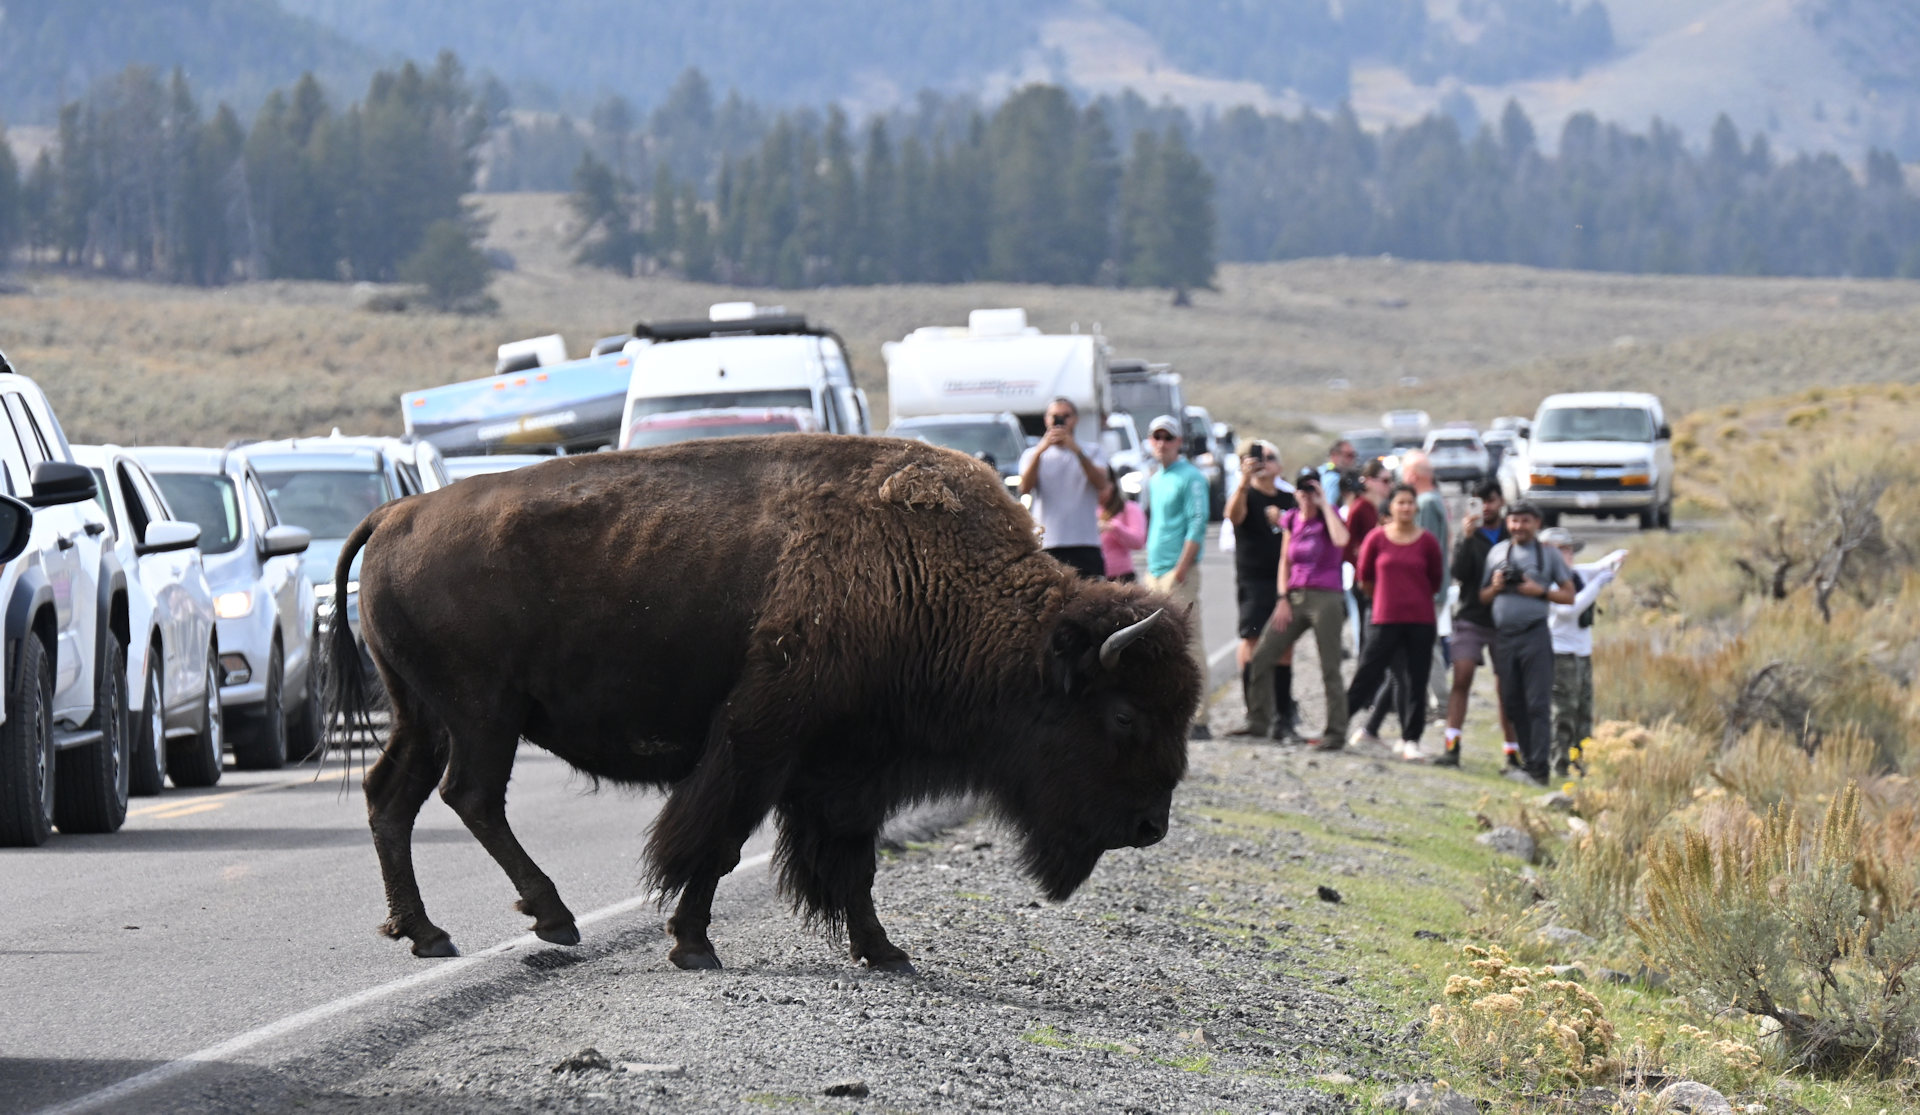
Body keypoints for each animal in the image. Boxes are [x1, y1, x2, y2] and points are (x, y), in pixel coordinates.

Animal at [324, 436, 1201, 971]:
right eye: (1125, 714)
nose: (1150, 826)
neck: (932, 578)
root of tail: (397, 512)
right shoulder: (762, 741)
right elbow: (714, 840)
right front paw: (691, 944)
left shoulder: (850, 767)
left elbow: (852, 862)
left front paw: (884, 950)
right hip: (483, 714)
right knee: (469, 795)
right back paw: (551, 916)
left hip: (425, 714)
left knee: (392, 795)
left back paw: (427, 932)